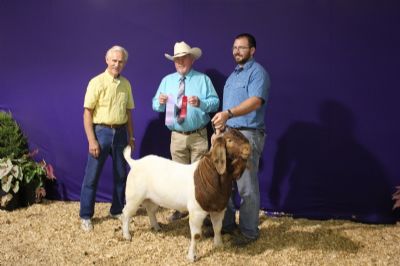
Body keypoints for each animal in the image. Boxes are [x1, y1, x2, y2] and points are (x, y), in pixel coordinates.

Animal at [121, 129, 250, 262]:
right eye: (229, 140)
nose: (248, 149)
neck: (206, 176)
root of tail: (135, 163)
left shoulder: (219, 210)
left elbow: (217, 228)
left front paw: (219, 245)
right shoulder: (196, 211)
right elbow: (196, 235)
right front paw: (192, 257)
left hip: (152, 198)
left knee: (150, 210)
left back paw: (157, 228)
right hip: (134, 196)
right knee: (126, 213)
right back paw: (127, 235)